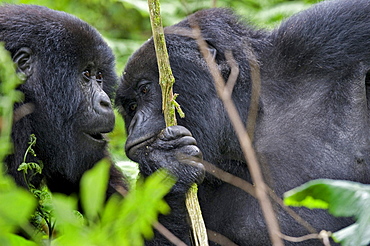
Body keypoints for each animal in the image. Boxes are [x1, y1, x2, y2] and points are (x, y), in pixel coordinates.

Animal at [115, 0, 370, 245]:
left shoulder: (324, 32)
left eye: (145, 90)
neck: (250, 121)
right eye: (131, 107)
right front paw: (167, 165)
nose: (135, 123)